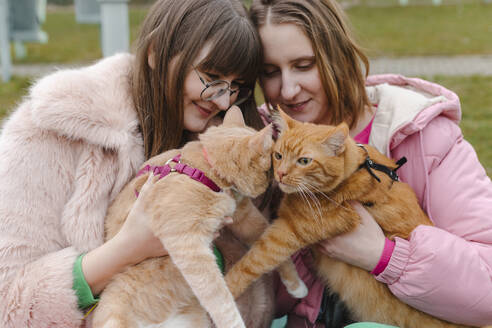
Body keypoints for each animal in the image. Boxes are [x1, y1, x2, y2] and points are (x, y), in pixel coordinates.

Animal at [226, 109, 472, 328]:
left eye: (304, 161)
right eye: (278, 155)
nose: (280, 174)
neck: (354, 171)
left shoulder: (285, 232)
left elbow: (251, 263)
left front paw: (227, 286)